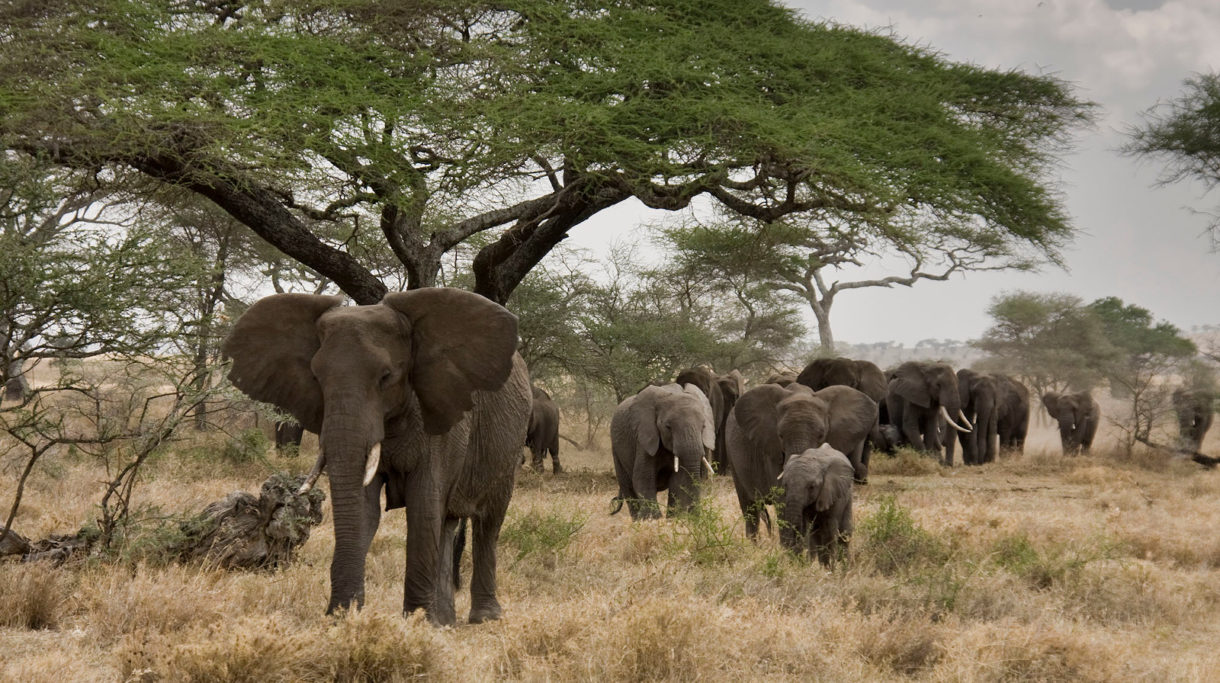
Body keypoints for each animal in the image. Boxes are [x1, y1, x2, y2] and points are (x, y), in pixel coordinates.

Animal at [222, 285, 527, 629]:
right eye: (316, 378)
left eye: (386, 376)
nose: (337, 614)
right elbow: (366, 508)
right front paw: (345, 617)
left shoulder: (442, 418)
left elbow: (423, 505)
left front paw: (415, 623)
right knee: (447, 523)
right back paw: (445, 621)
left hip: (510, 443)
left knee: (489, 521)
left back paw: (484, 618)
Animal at [607, 385, 712, 517]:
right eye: (668, 427)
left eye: (703, 426)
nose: (693, 513)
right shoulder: (644, 439)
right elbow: (644, 478)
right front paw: (653, 519)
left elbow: (677, 481)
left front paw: (673, 519)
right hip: (616, 449)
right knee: (628, 486)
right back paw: (637, 518)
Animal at [722, 385, 878, 539]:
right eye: (780, 435)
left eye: (821, 435)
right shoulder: (772, 451)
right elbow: (783, 499)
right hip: (731, 455)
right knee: (749, 508)